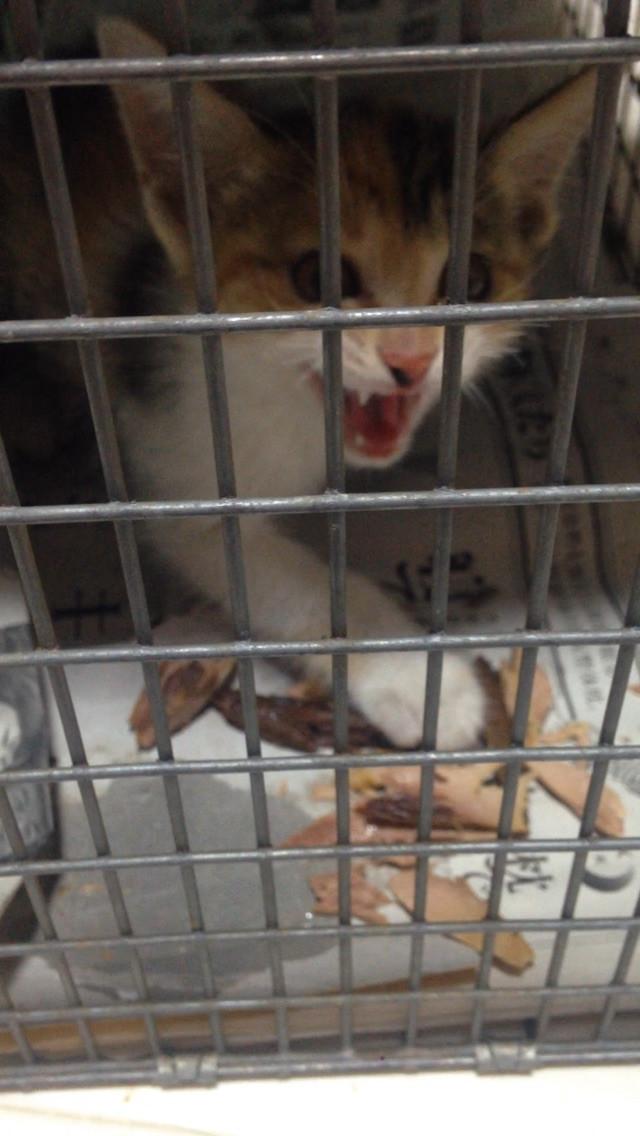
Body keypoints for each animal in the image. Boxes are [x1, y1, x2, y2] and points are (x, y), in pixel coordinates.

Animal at [1, 17, 595, 749]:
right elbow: (296, 585)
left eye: (473, 281)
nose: (411, 359)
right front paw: (421, 683)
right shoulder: (182, 465)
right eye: (317, 277)